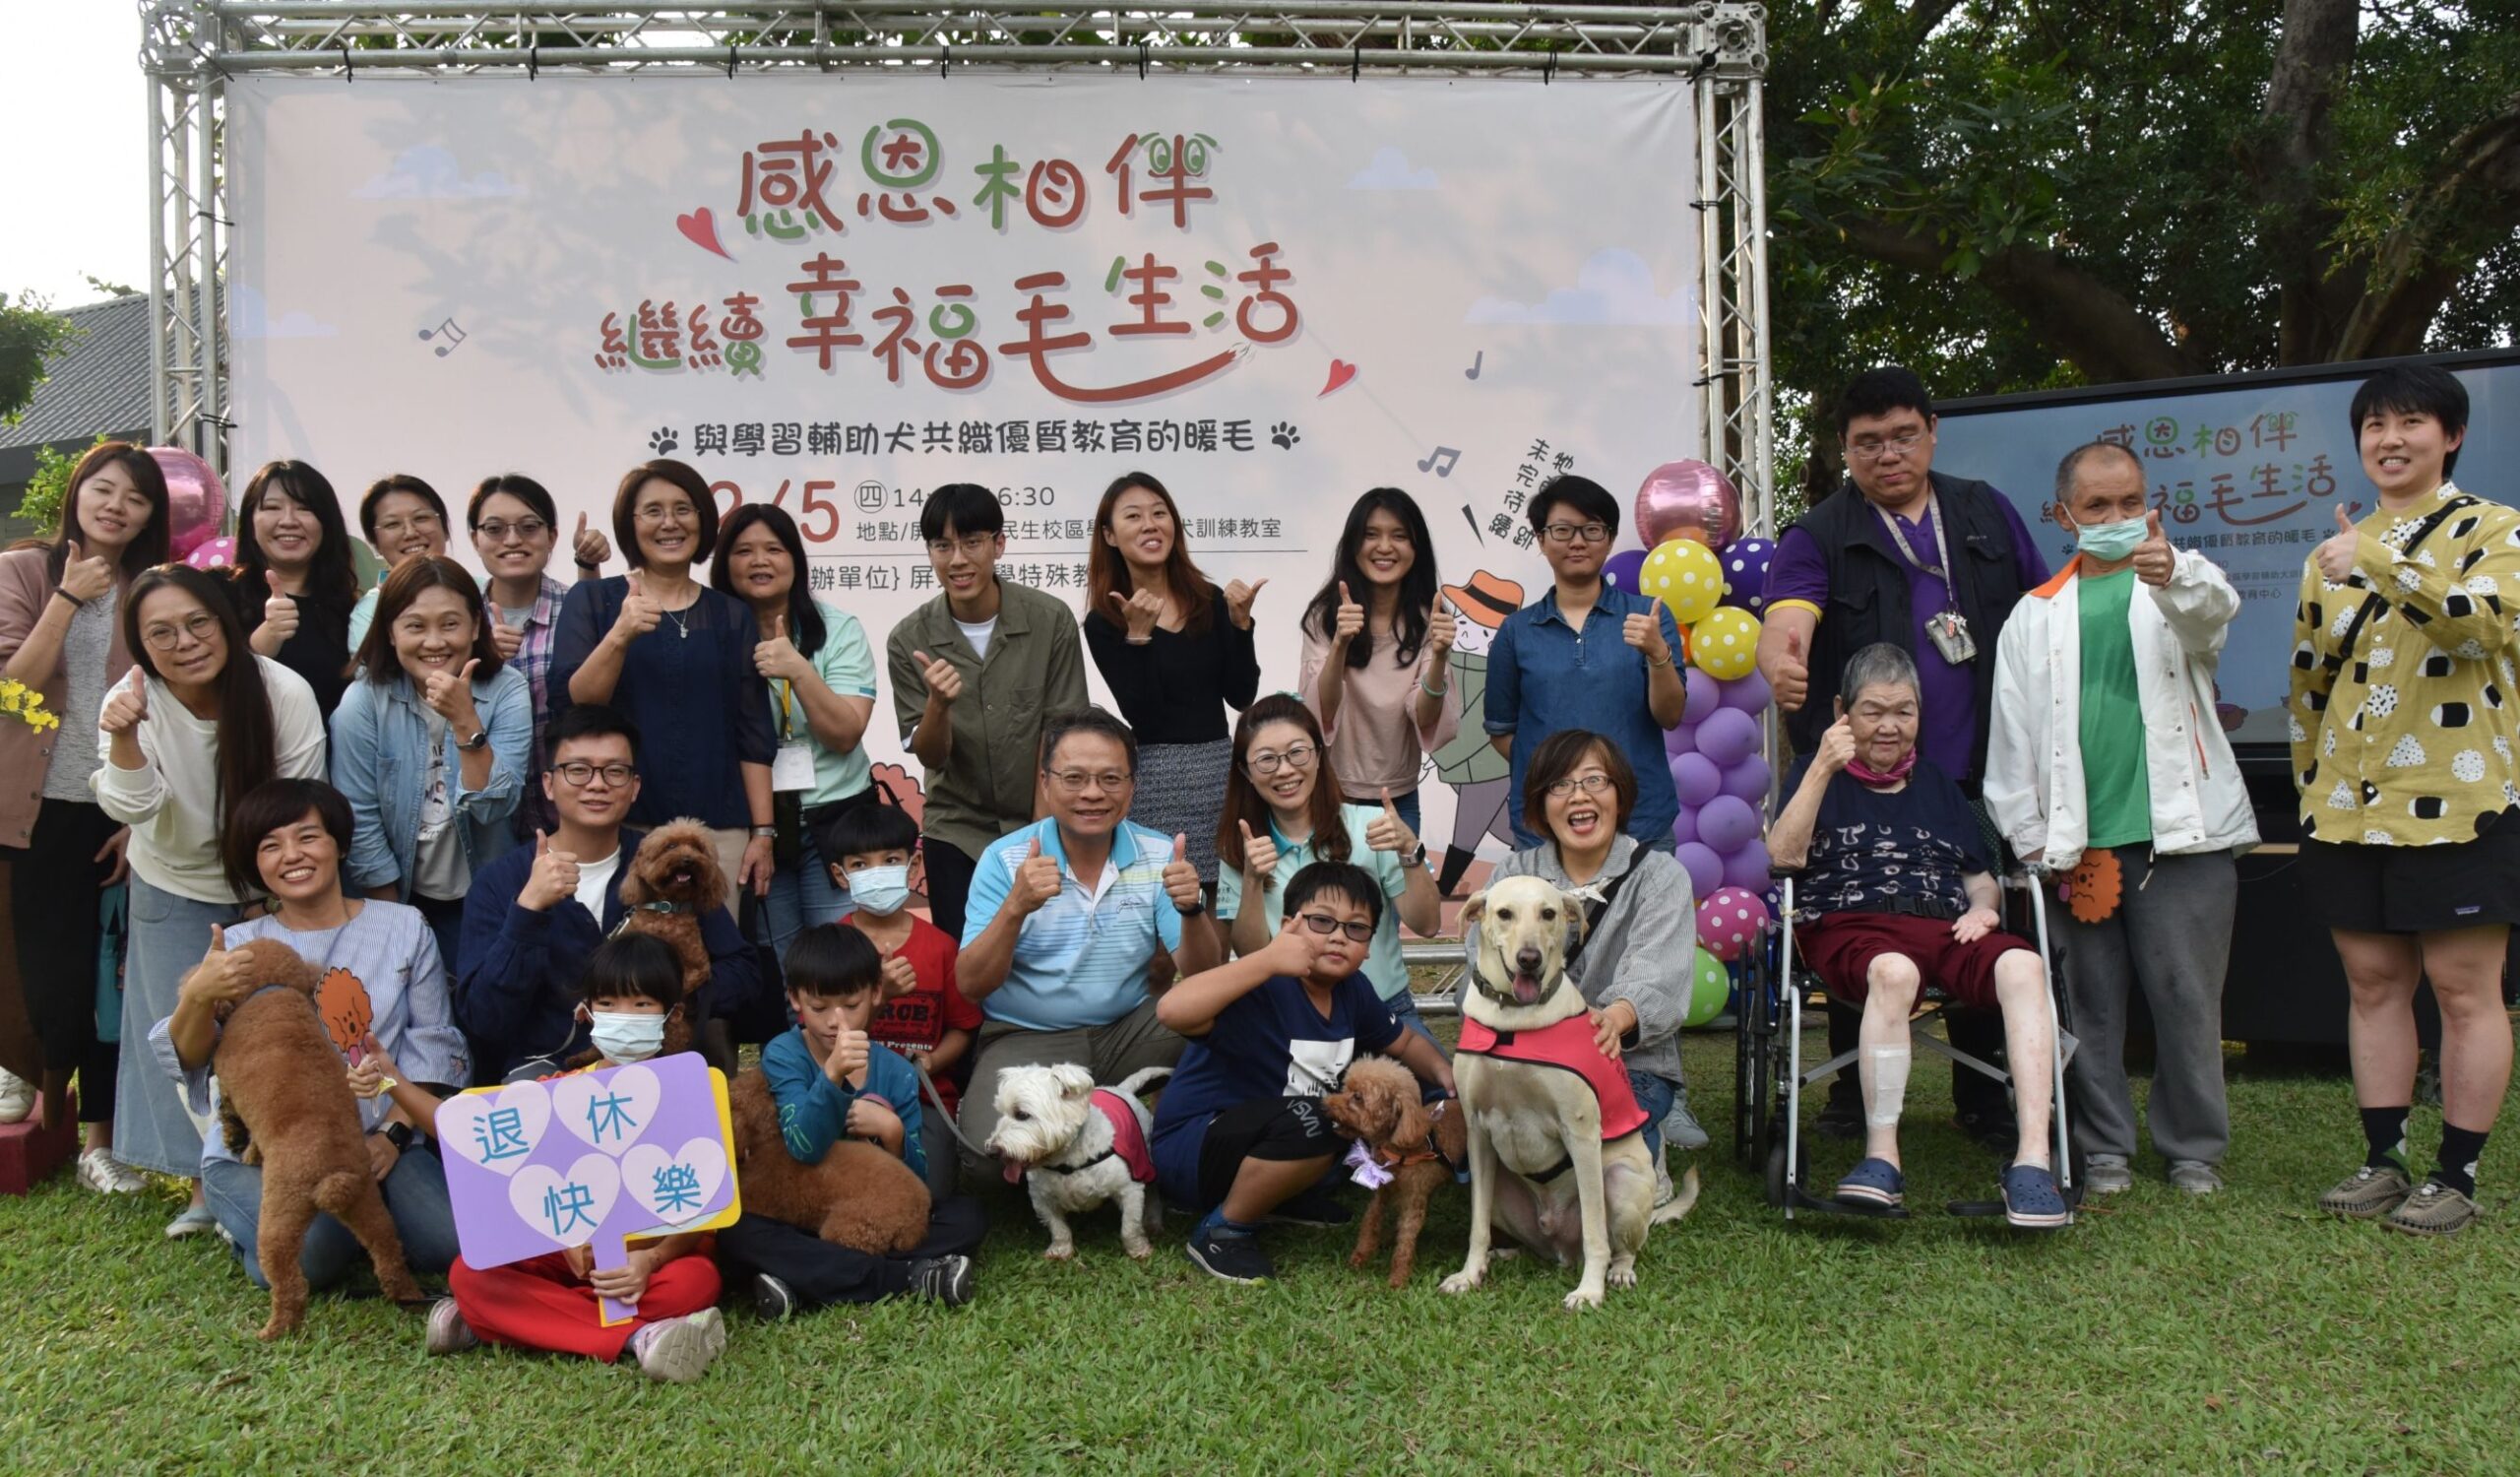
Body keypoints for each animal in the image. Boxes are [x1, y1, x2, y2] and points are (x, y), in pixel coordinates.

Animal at [987, 1059, 1173, 1254]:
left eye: (1022, 1114)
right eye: (1001, 1113)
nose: (991, 1152)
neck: (1066, 1162)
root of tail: (1121, 1090)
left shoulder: (1130, 1189)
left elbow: (1130, 1227)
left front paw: (1138, 1250)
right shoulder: (1041, 1198)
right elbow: (1058, 1227)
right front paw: (1061, 1251)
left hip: (1146, 1159)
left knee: (1153, 1192)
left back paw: (1153, 1222)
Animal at [1441, 871, 1693, 1300]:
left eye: (1548, 913)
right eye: (1504, 914)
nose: (1529, 958)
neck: (1513, 1020)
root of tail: (1559, 1245)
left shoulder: (1581, 1134)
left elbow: (1595, 1233)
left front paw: (1589, 1291)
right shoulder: (1476, 1131)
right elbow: (1476, 1225)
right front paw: (1468, 1273)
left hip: (1621, 1182)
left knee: (1622, 1246)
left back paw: (1617, 1272)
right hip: (1502, 1188)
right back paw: (1502, 1254)